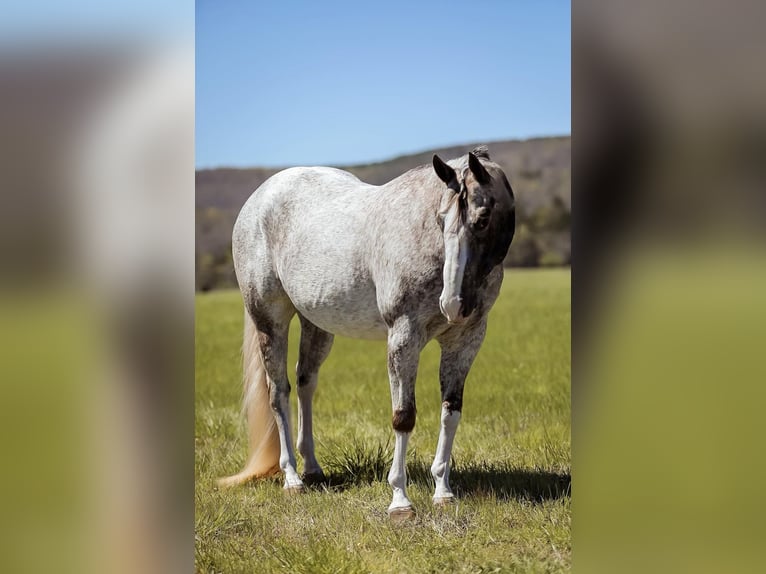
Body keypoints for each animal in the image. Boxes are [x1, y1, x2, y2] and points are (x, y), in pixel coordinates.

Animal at [220, 146, 516, 520]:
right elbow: (403, 417)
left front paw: (443, 491)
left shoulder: (466, 340)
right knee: (279, 393)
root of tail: (258, 199)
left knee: (305, 383)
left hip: (316, 324)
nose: (452, 304)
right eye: (440, 219)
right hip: (270, 322)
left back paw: (312, 469)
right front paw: (400, 501)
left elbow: (451, 412)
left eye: (482, 219)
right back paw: (292, 479)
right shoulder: (404, 337)